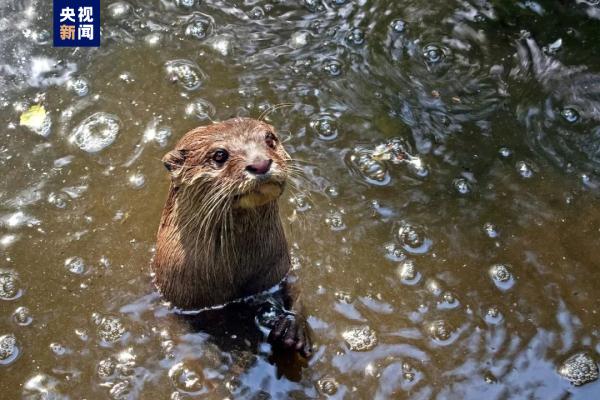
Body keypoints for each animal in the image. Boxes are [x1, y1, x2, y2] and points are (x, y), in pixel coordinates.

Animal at [150, 116, 312, 356]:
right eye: (219, 155)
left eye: (270, 139)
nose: (260, 163)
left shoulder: (281, 269)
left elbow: (297, 290)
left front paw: (293, 328)